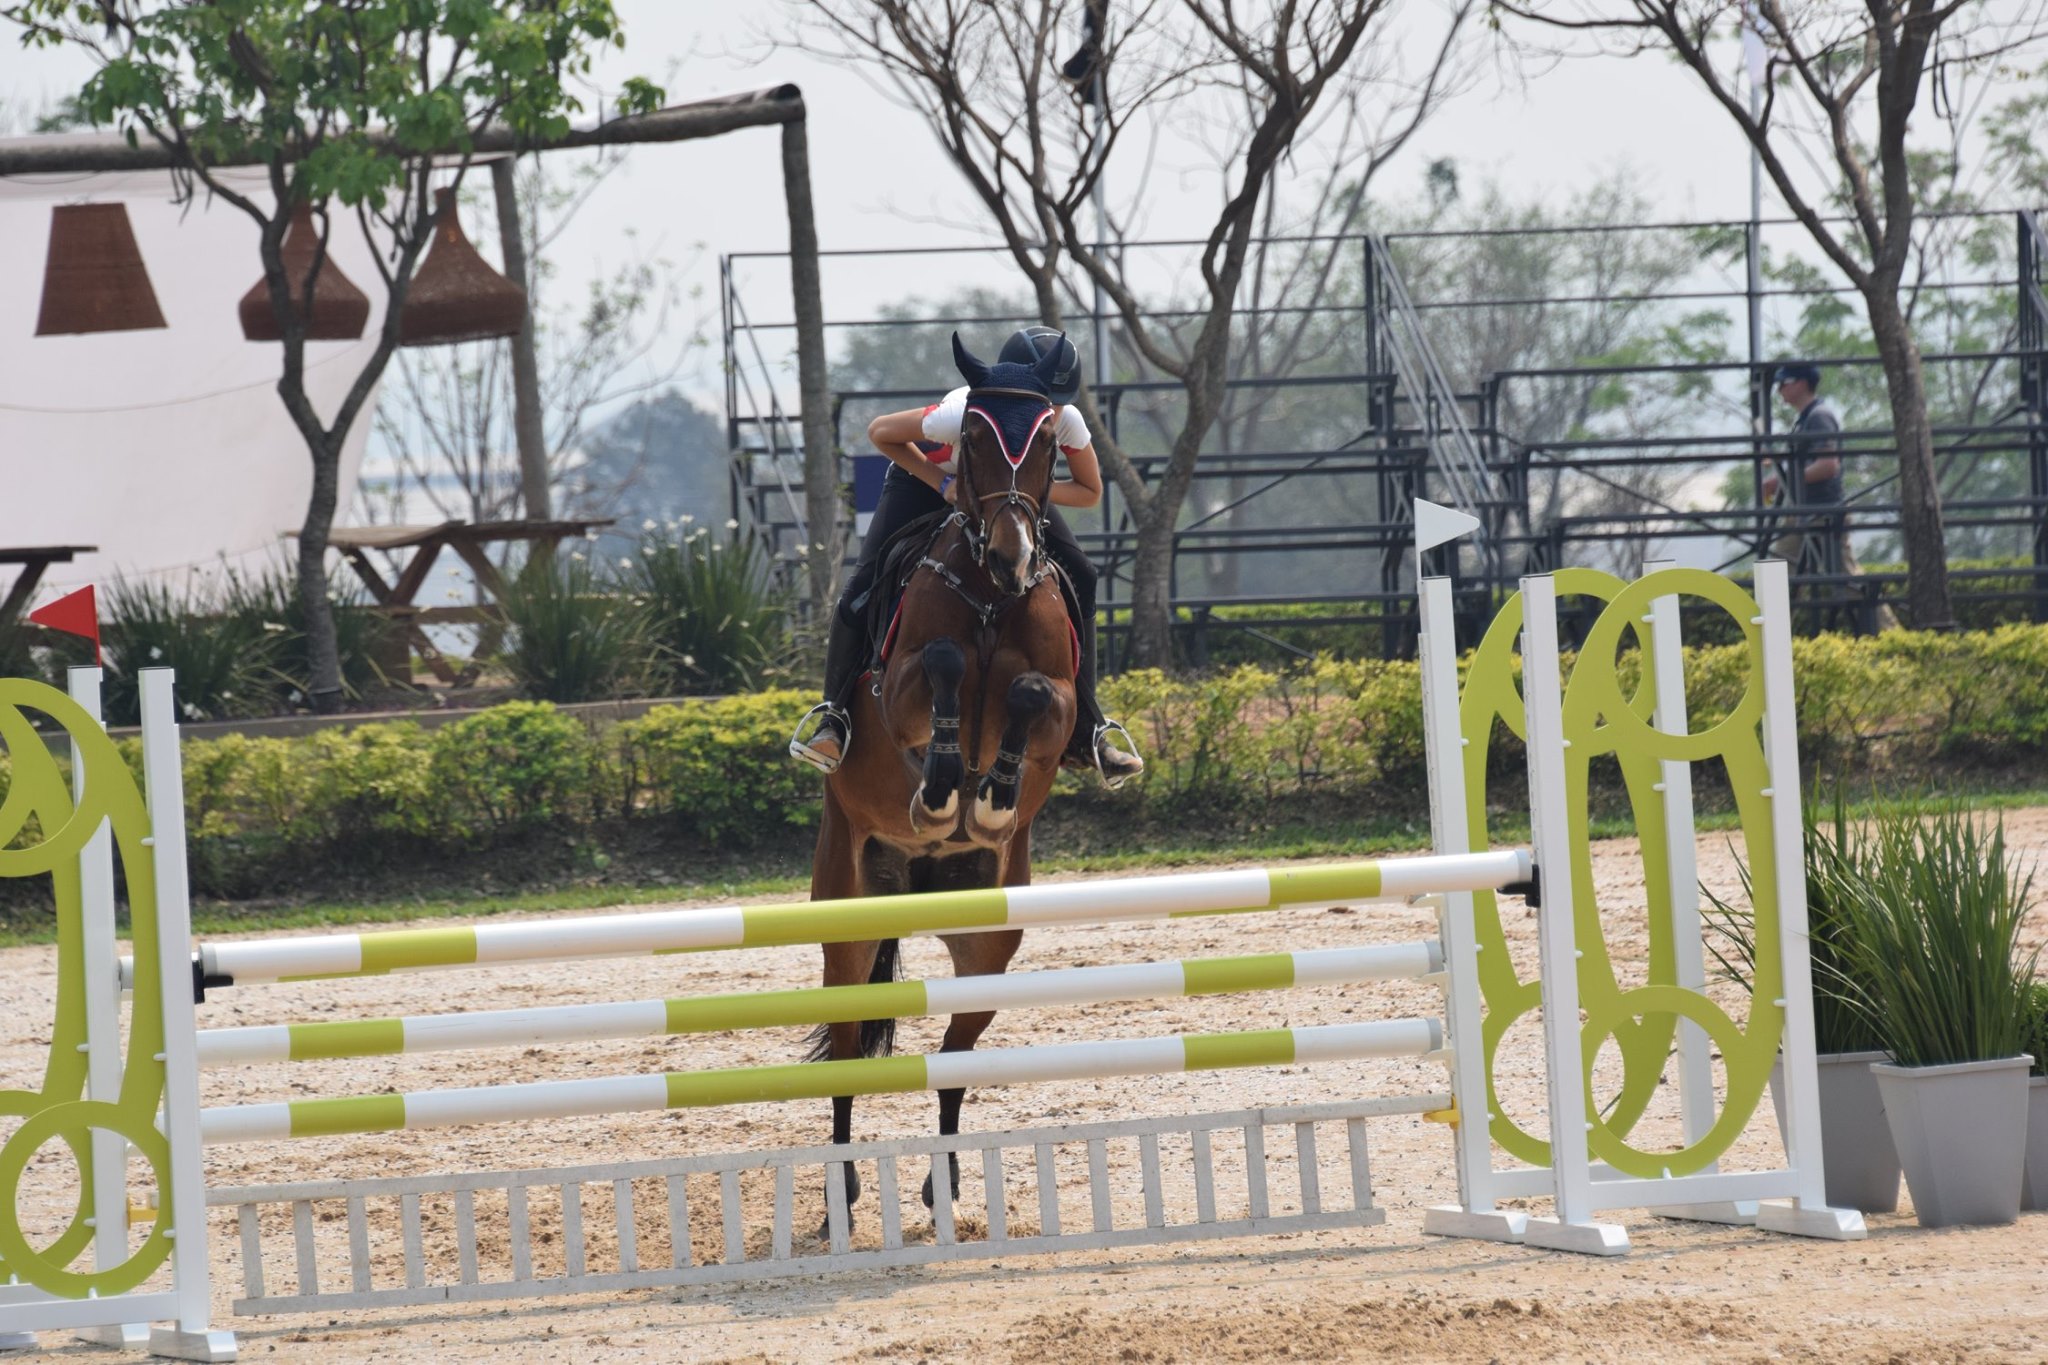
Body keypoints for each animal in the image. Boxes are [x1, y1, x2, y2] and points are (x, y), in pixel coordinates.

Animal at [806, 333, 1081, 1227]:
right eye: (970, 438)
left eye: (1049, 442)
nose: (1010, 553)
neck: (991, 596)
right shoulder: (898, 693)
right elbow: (943, 663)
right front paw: (942, 785)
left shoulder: (1061, 701)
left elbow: (1031, 695)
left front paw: (988, 795)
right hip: (848, 914)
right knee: (848, 1050)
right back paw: (842, 1193)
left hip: (988, 942)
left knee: (955, 1059)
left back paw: (945, 1185)